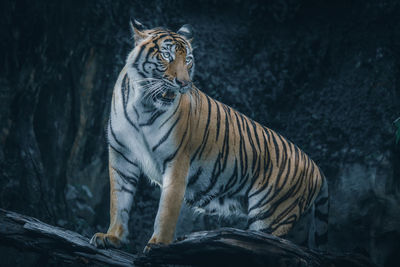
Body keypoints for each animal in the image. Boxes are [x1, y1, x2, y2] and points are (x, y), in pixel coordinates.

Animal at [90, 20, 328, 253]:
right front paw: (112, 237)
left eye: (188, 60)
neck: (142, 104)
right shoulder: (121, 155)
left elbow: (166, 210)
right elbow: (119, 201)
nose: (184, 83)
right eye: (166, 55)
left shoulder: (177, 160)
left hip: (270, 215)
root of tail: (317, 168)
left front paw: (158, 244)